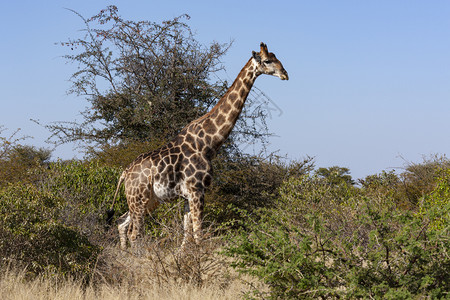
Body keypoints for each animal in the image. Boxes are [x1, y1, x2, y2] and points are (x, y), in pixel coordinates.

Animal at [110, 42, 290, 251]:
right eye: (268, 61)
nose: (285, 74)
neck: (208, 144)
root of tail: (125, 173)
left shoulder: (189, 194)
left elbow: (187, 234)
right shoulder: (197, 189)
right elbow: (198, 235)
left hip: (148, 200)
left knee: (121, 222)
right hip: (139, 198)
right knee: (135, 232)